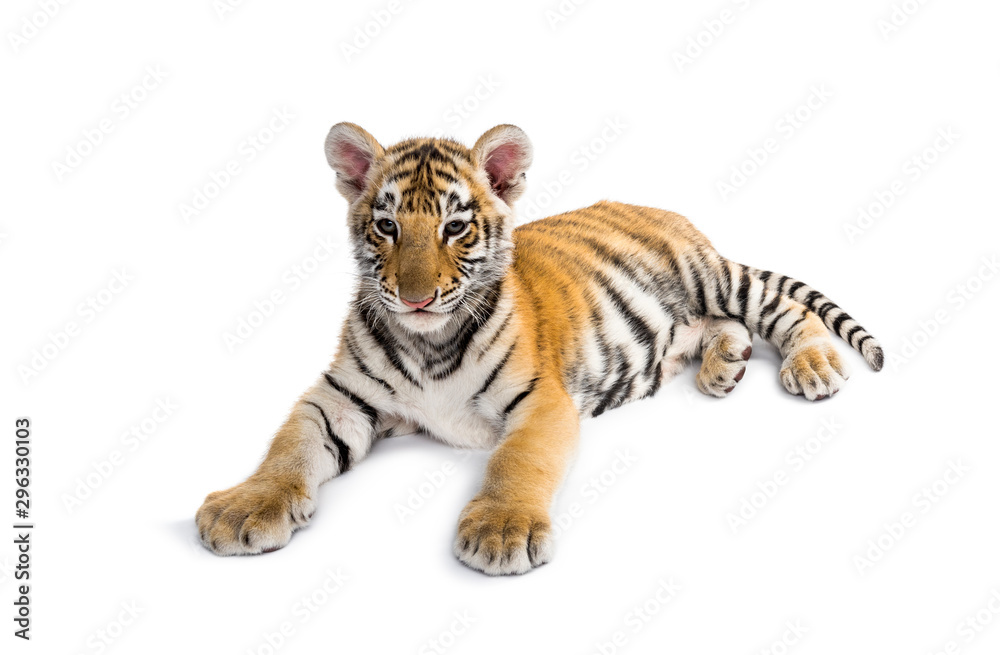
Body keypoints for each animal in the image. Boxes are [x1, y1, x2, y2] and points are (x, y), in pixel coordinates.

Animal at [195, 122, 883, 575]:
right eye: (386, 226)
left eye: (455, 226)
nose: (416, 299)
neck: (427, 342)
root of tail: (674, 215)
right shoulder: (338, 397)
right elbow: (289, 448)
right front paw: (243, 509)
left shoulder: (542, 400)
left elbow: (518, 460)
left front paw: (502, 531)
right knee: (722, 326)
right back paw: (722, 367)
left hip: (710, 276)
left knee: (784, 309)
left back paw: (813, 365)